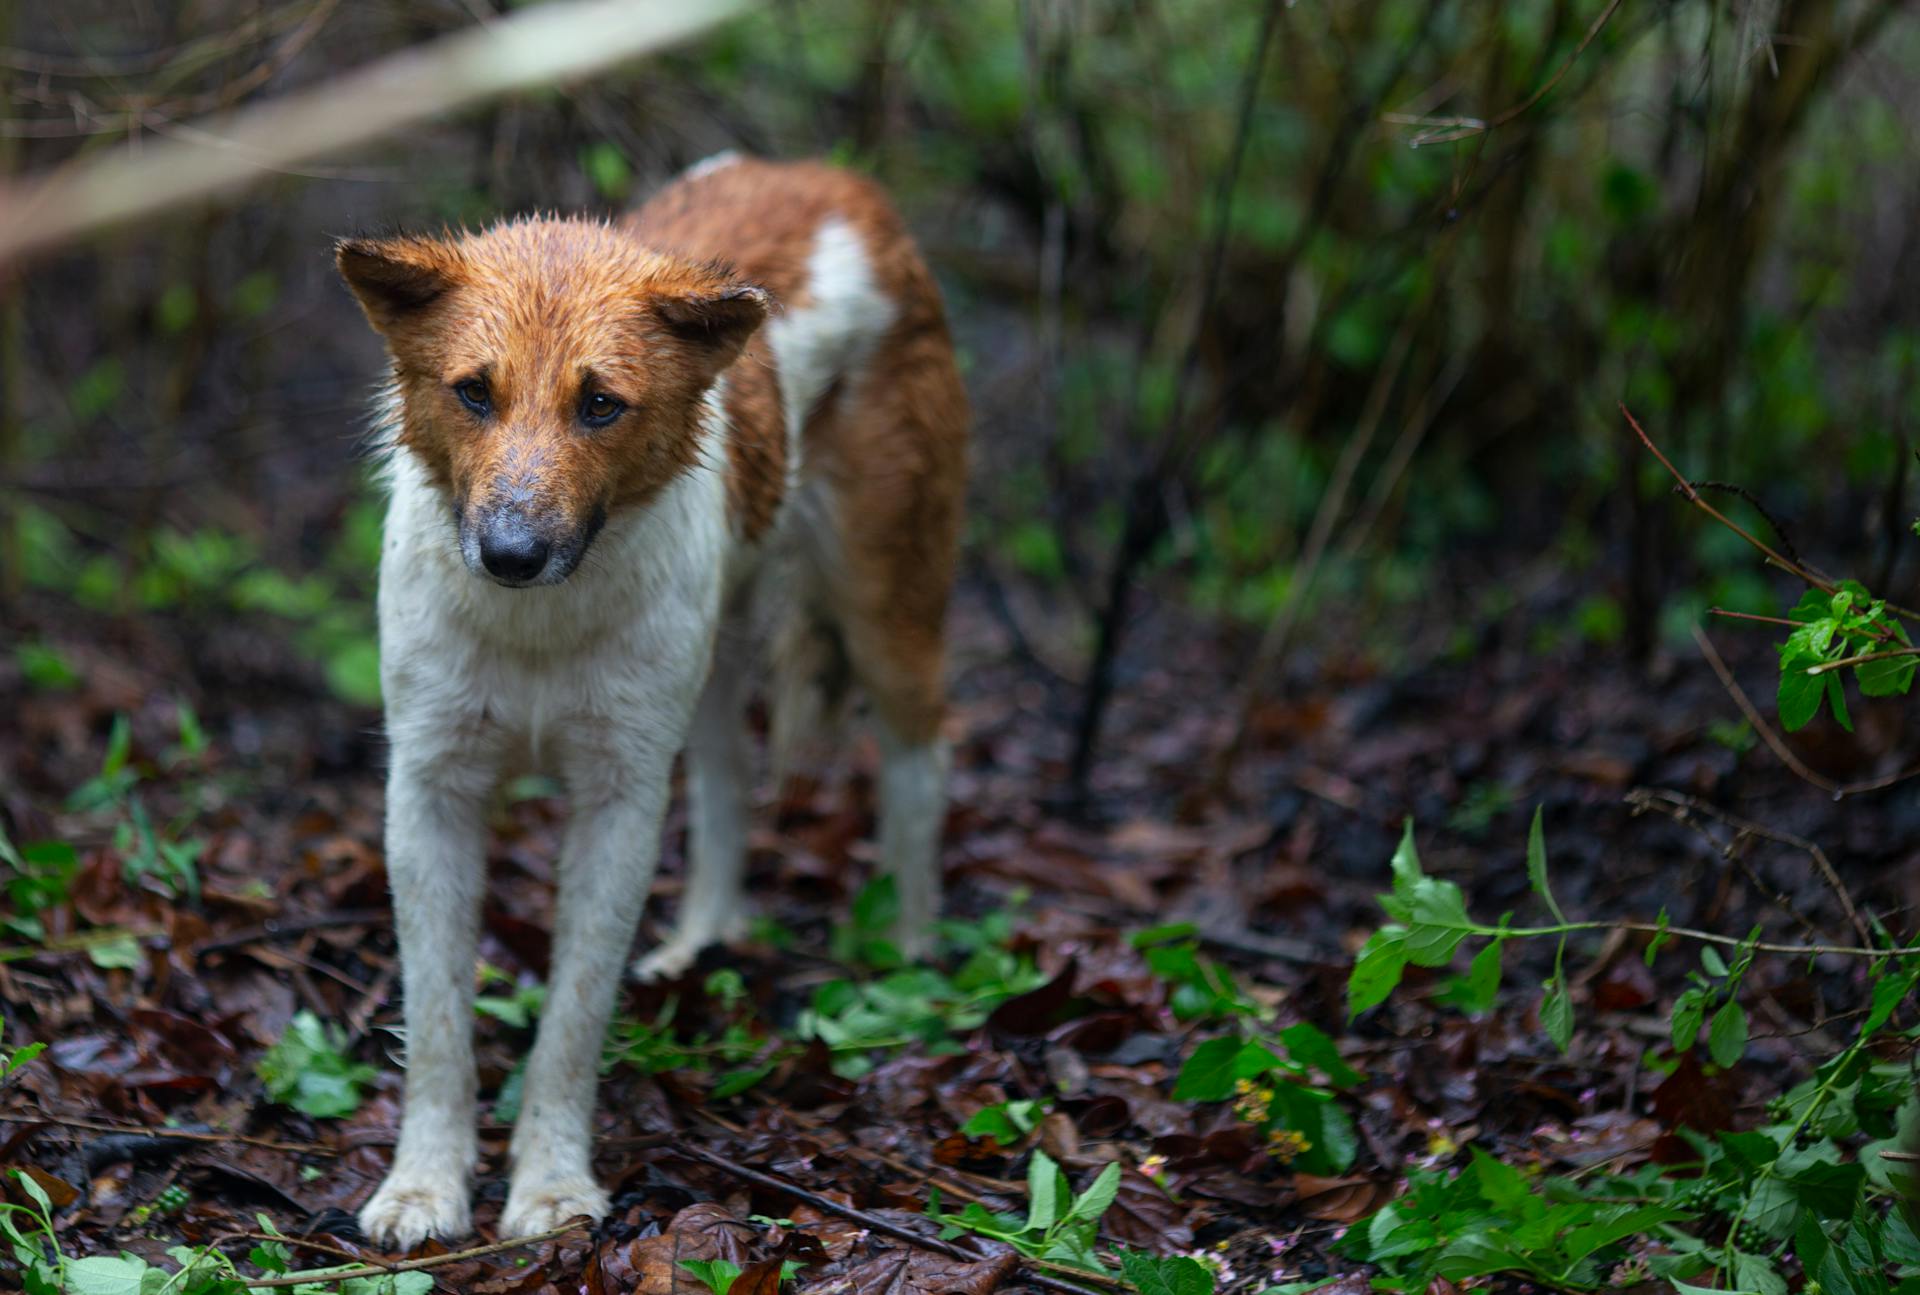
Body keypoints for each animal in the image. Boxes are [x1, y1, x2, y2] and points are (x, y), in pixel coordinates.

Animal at [336, 156, 967, 1245]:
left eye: (600, 405)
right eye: (473, 393)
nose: (509, 553)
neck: (538, 624)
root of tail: (829, 181)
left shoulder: (618, 799)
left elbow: (572, 1016)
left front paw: (552, 1188)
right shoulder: (430, 791)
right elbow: (438, 1020)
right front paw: (422, 1187)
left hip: (887, 615)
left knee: (919, 768)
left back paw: (911, 960)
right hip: (710, 662)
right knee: (728, 779)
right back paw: (699, 944)